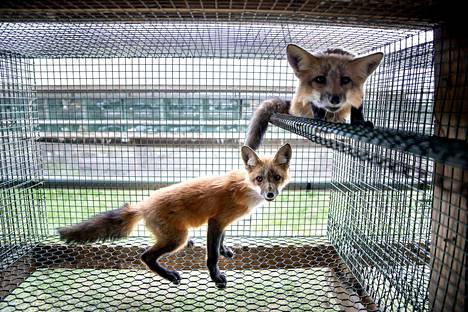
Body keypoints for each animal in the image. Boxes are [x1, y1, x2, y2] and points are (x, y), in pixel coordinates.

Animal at [58, 143, 292, 288]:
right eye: (259, 179)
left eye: (276, 178)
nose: (270, 194)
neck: (245, 189)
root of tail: (143, 204)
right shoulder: (216, 220)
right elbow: (212, 256)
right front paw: (216, 277)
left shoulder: (221, 223)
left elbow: (220, 243)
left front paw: (224, 249)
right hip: (176, 238)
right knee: (146, 256)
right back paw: (169, 275)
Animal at [245, 44, 384, 151]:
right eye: (320, 79)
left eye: (345, 80)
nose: (335, 100)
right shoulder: (310, 98)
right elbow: (317, 107)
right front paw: (319, 119)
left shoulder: (360, 93)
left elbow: (357, 109)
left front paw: (359, 123)